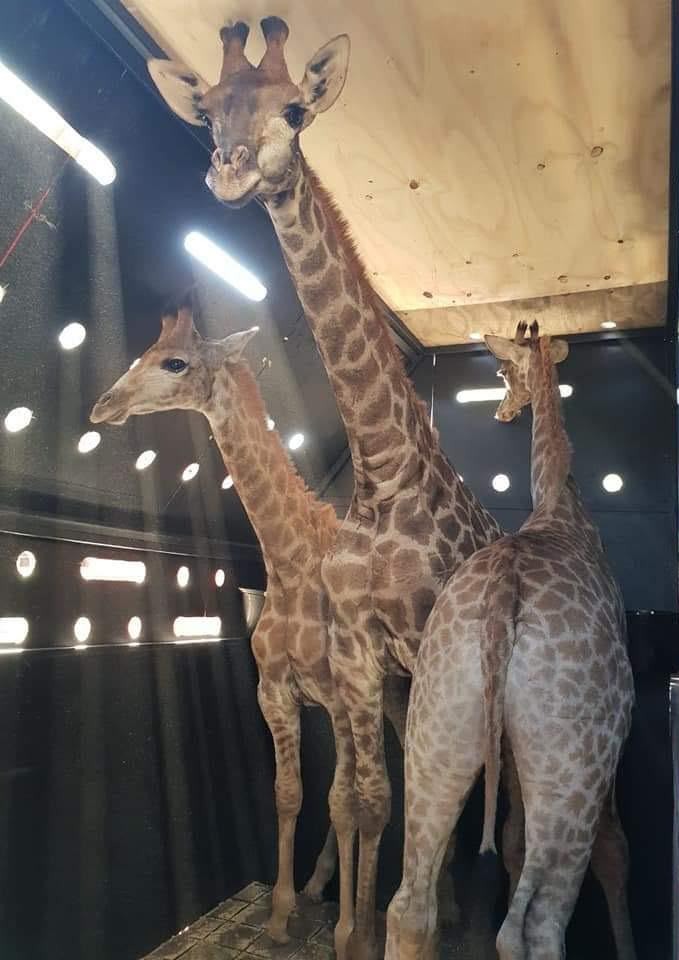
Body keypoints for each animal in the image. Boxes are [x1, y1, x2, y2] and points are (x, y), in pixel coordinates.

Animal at [90, 303, 364, 949]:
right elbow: (290, 793)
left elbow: (345, 803)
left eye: (175, 361)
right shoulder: (275, 692)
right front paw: (282, 915)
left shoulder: (341, 698)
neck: (291, 561)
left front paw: (346, 933)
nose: (103, 405)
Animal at [147, 20, 503, 956]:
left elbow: (417, 801)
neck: (384, 470)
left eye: (295, 110)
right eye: (209, 109)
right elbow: (369, 798)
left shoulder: (425, 651)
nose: (230, 171)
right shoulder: (358, 654)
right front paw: (346, 931)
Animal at [385, 322, 636, 960]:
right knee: (536, 925)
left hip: (436, 727)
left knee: (409, 903)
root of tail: (503, 597)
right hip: (573, 766)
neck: (559, 504)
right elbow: (615, 849)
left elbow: (512, 841)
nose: (501, 410)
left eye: (504, 370)